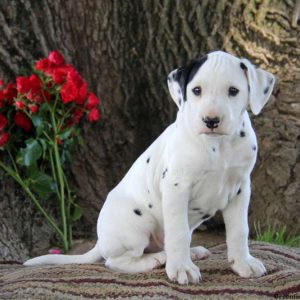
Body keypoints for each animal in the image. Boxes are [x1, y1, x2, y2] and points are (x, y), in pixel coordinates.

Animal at [24, 51, 276, 286]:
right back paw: (158, 259)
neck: (217, 146)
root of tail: (100, 241)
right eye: (196, 90)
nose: (211, 120)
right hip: (136, 225)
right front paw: (181, 268)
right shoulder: (177, 188)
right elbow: (178, 233)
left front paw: (242, 263)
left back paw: (189, 253)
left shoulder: (240, 189)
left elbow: (239, 231)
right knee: (116, 261)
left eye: (233, 91)